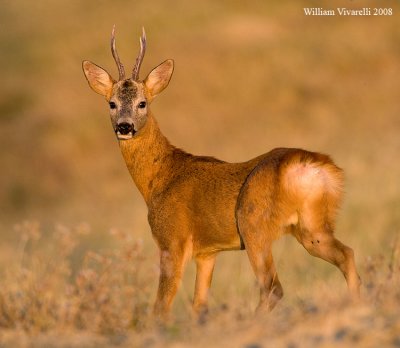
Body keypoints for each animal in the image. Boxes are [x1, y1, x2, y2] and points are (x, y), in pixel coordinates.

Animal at [83, 27, 360, 320]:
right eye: (112, 103)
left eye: (142, 103)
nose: (124, 126)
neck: (160, 178)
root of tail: (312, 164)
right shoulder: (208, 252)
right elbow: (199, 306)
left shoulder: (172, 240)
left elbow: (161, 306)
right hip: (312, 226)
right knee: (347, 255)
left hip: (254, 225)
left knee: (273, 287)